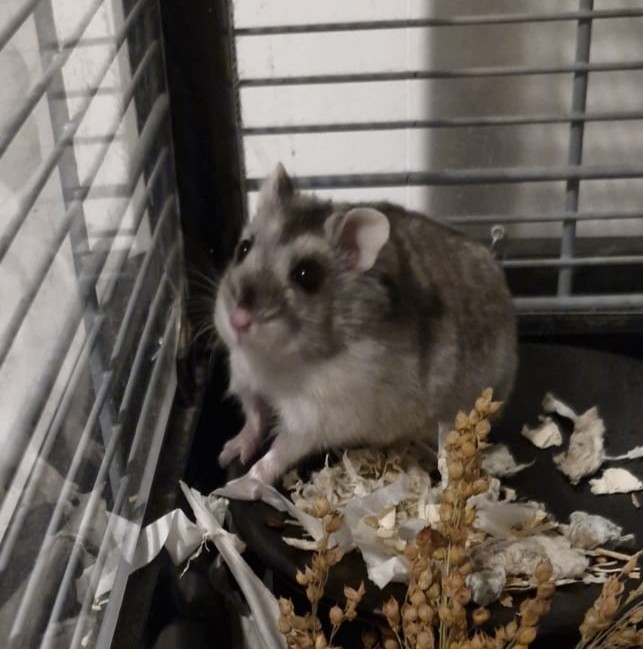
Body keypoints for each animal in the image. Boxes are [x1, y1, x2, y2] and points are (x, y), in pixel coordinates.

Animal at [214, 164, 517, 484]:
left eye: (307, 275)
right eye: (243, 248)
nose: (238, 320)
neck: (273, 360)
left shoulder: (313, 418)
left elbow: (280, 450)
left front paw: (245, 479)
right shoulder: (246, 379)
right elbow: (254, 418)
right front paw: (228, 454)